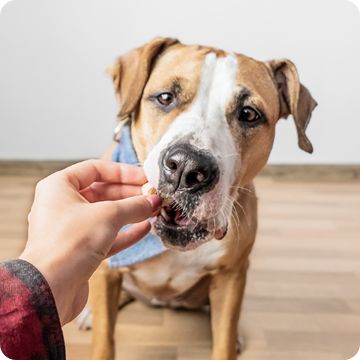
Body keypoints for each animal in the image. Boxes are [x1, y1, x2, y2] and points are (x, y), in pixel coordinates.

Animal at [86, 37, 316, 360]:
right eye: (165, 97)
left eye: (249, 114)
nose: (186, 167)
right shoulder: (107, 271)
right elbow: (104, 339)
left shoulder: (231, 276)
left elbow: (223, 339)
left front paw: (229, 340)